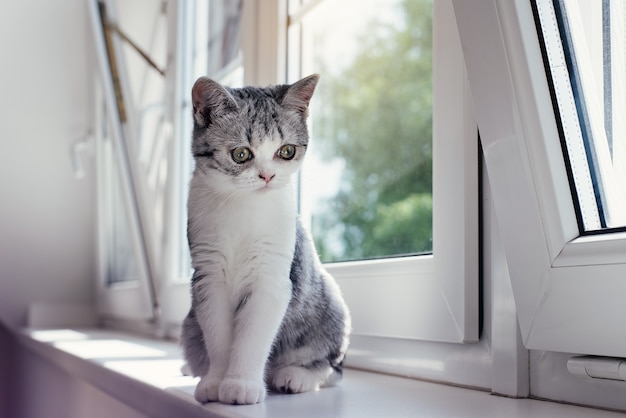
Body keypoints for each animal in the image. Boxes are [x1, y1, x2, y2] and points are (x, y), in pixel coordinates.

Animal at [179, 74, 352, 404]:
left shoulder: (271, 275)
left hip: (331, 306)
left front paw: (241, 385)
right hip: (189, 326)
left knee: (331, 367)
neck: (242, 204)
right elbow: (218, 335)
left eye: (286, 151)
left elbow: (252, 336)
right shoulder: (208, 274)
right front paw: (216, 382)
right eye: (241, 154)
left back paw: (294, 375)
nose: (268, 176)